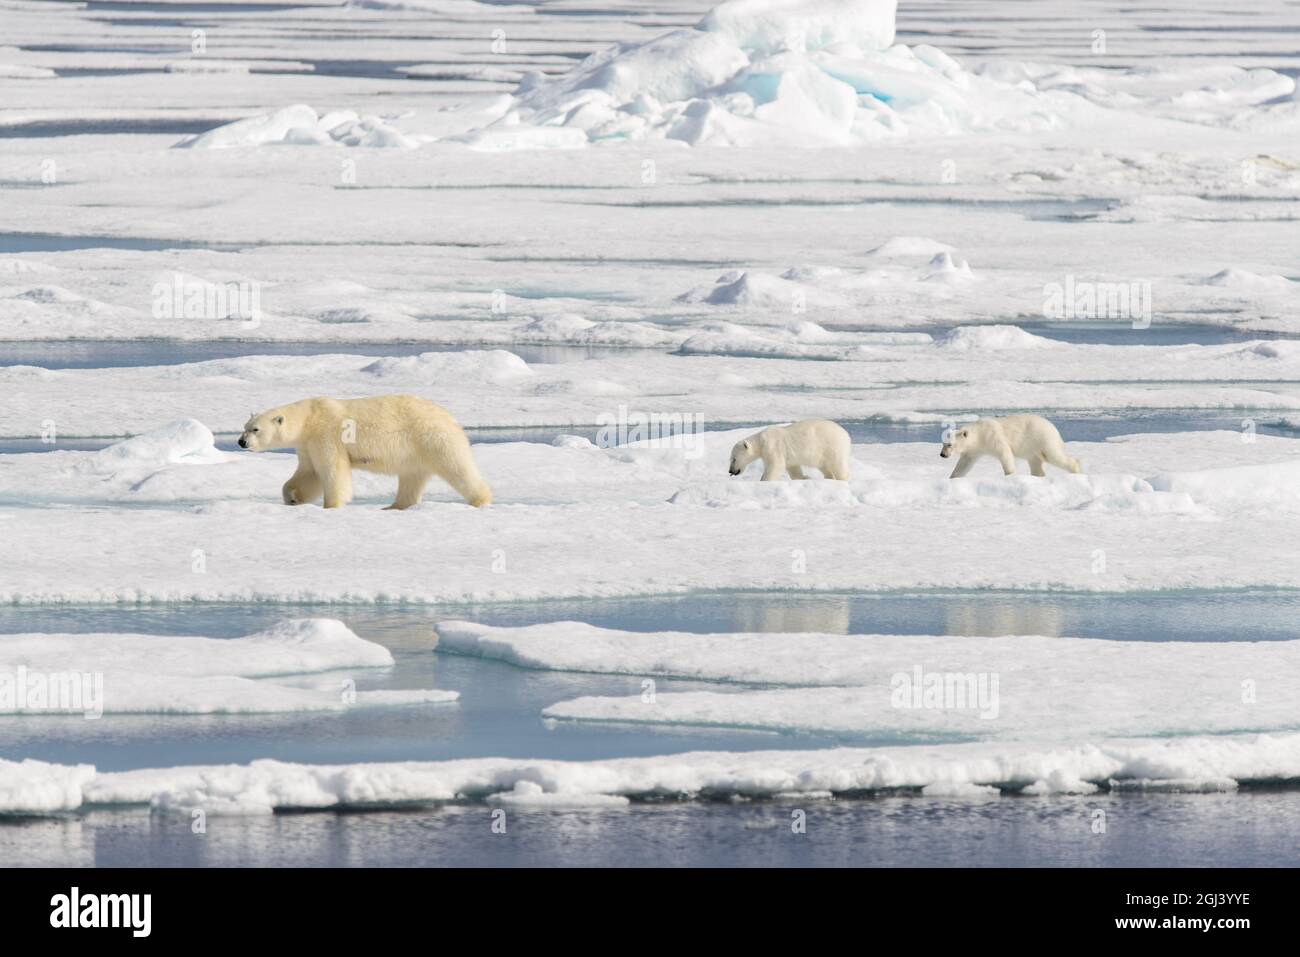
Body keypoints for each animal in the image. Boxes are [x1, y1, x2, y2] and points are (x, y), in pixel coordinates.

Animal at [238, 394, 492, 510]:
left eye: (255, 429)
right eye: (244, 426)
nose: (241, 442)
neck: (309, 418)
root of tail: (450, 418)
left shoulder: (327, 435)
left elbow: (332, 471)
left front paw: (331, 505)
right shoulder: (307, 444)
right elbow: (309, 473)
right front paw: (292, 496)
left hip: (433, 438)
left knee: (457, 467)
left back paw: (480, 499)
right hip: (415, 452)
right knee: (412, 477)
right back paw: (394, 506)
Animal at [939, 414, 1081, 478]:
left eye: (949, 444)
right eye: (943, 444)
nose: (942, 455)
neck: (979, 433)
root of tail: (1054, 428)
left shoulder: (992, 437)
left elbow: (1005, 453)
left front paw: (1010, 475)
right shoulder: (974, 450)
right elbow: (964, 464)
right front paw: (952, 477)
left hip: (1042, 438)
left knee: (1054, 455)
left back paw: (1077, 471)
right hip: (1032, 448)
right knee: (1036, 464)